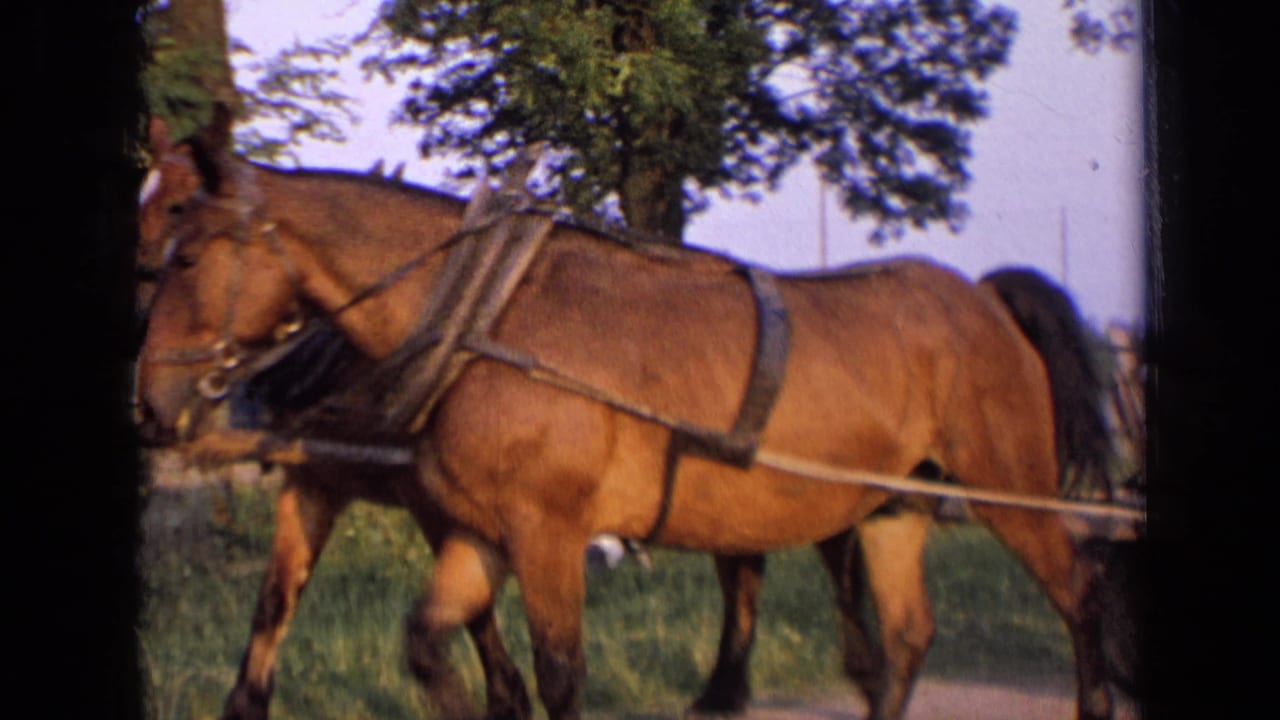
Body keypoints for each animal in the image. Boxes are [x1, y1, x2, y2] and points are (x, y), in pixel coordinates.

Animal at [135, 113, 1116, 720]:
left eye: (185, 250)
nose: (151, 403)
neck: (483, 315)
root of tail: (980, 297)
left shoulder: (546, 532)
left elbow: (559, 676)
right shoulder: (477, 528)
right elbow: (423, 641)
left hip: (1004, 483)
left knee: (1078, 592)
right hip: (892, 504)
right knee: (905, 639)